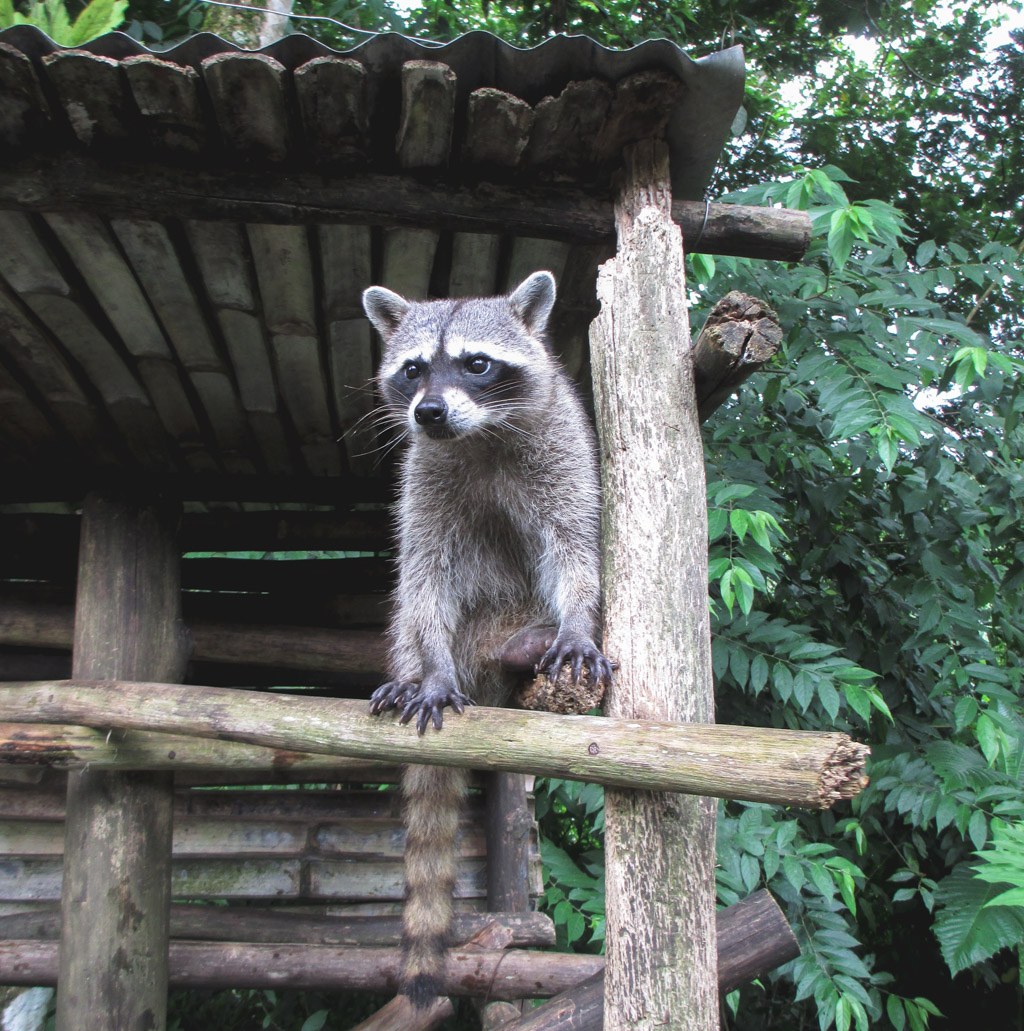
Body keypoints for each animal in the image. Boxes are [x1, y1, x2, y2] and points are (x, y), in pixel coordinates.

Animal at [362, 272, 610, 1006]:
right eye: (413, 369)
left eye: (477, 363)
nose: (429, 412)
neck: (479, 434)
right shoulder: (424, 476)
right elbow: (423, 575)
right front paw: (431, 670)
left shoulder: (563, 450)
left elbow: (574, 546)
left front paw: (577, 619)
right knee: (412, 609)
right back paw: (419, 671)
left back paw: (523, 648)